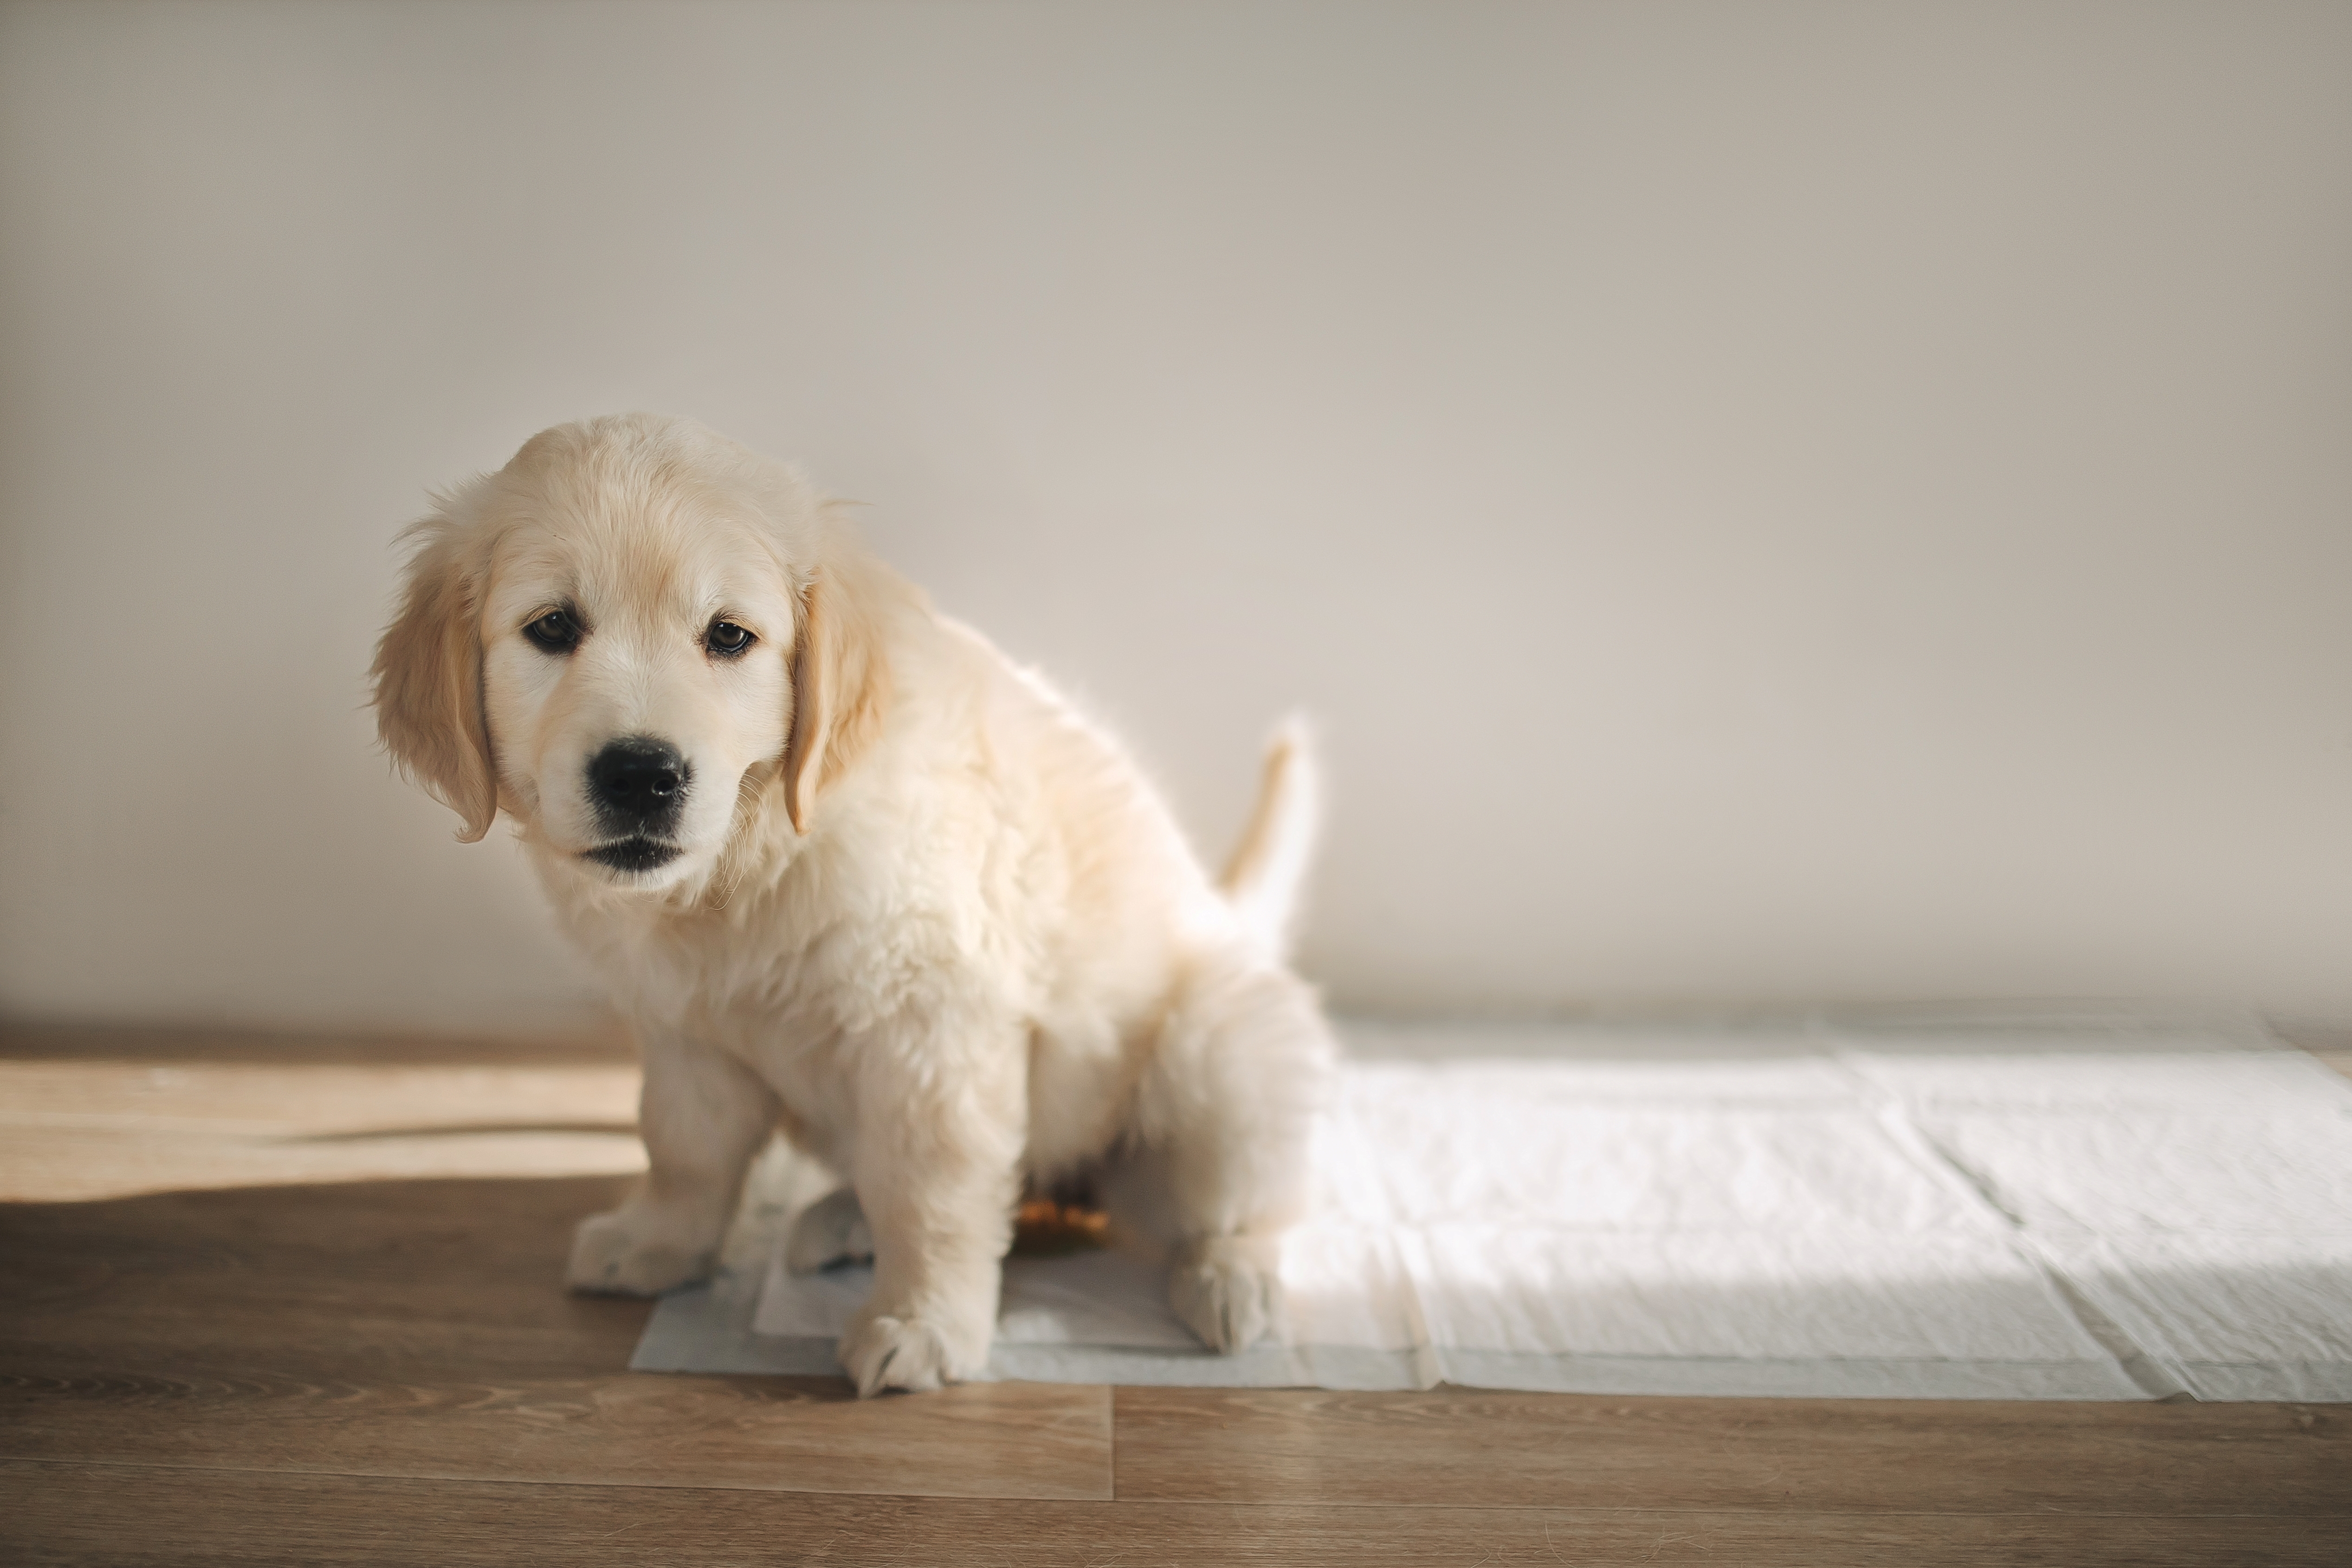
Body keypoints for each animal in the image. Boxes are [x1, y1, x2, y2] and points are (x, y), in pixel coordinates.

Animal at [362, 413, 1326, 1401]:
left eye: (729, 635)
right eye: (553, 626)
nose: (641, 774)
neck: (753, 862)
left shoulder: (932, 1029)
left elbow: (930, 1187)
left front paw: (922, 1320)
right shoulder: (683, 1029)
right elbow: (683, 1145)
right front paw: (661, 1241)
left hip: (1215, 1056)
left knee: (1247, 1198)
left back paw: (1232, 1279)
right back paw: (841, 1218)